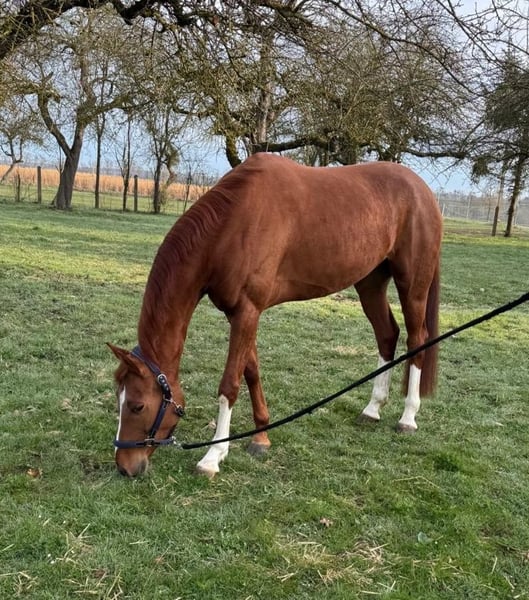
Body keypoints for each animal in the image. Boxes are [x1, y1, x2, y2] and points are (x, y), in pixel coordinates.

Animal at [109, 153, 442, 478]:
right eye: (119, 399)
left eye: (137, 406)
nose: (125, 466)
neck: (232, 225)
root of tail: (422, 190)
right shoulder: (240, 313)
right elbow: (251, 371)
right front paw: (260, 437)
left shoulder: (247, 310)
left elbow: (230, 385)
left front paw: (213, 457)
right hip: (370, 282)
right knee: (387, 335)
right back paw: (372, 409)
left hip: (412, 286)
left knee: (417, 340)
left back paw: (408, 417)